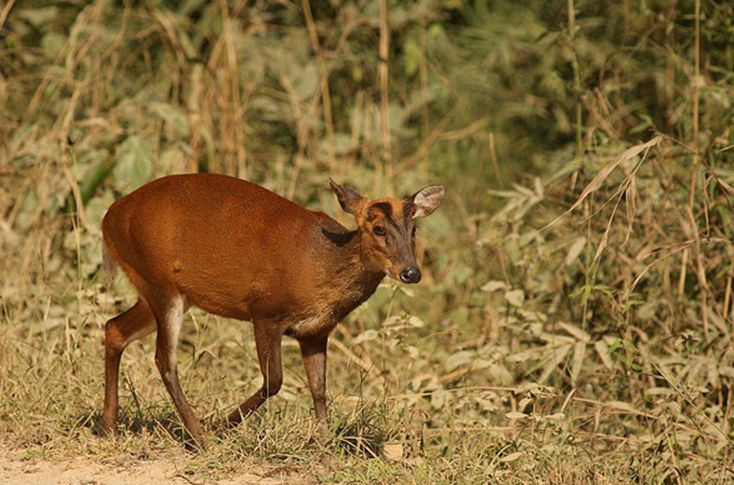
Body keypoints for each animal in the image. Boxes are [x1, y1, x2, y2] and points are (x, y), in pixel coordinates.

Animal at [100, 173, 446, 446]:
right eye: (378, 229)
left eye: (413, 230)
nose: (411, 272)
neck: (322, 266)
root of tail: (109, 217)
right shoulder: (265, 311)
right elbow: (275, 380)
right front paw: (222, 426)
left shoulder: (316, 332)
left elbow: (319, 389)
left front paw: (325, 446)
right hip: (161, 284)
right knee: (164, 360)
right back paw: (199, 438)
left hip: (158, 290)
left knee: (114, 328)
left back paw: (110, 427)